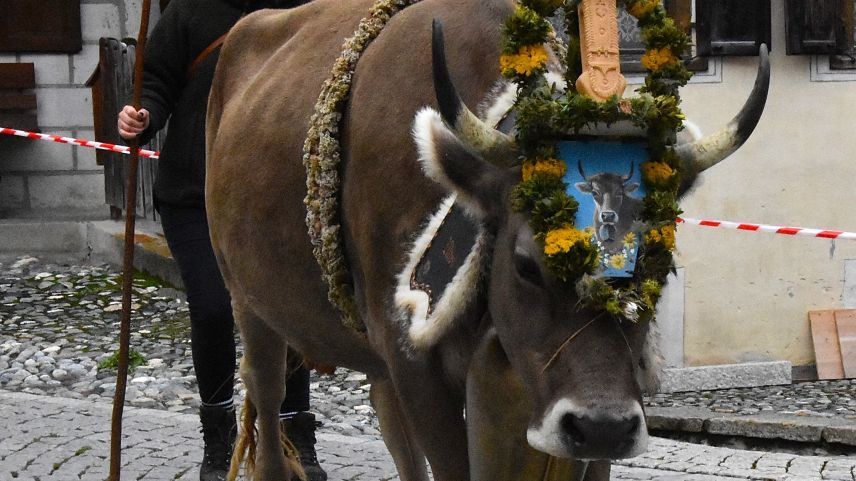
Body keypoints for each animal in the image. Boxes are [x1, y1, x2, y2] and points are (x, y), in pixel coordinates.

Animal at [206, 0, 768, 480]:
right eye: (525, 264)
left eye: (655, 263)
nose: (600, 425)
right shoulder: (415, 362)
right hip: (247, 299)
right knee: (267, 391)